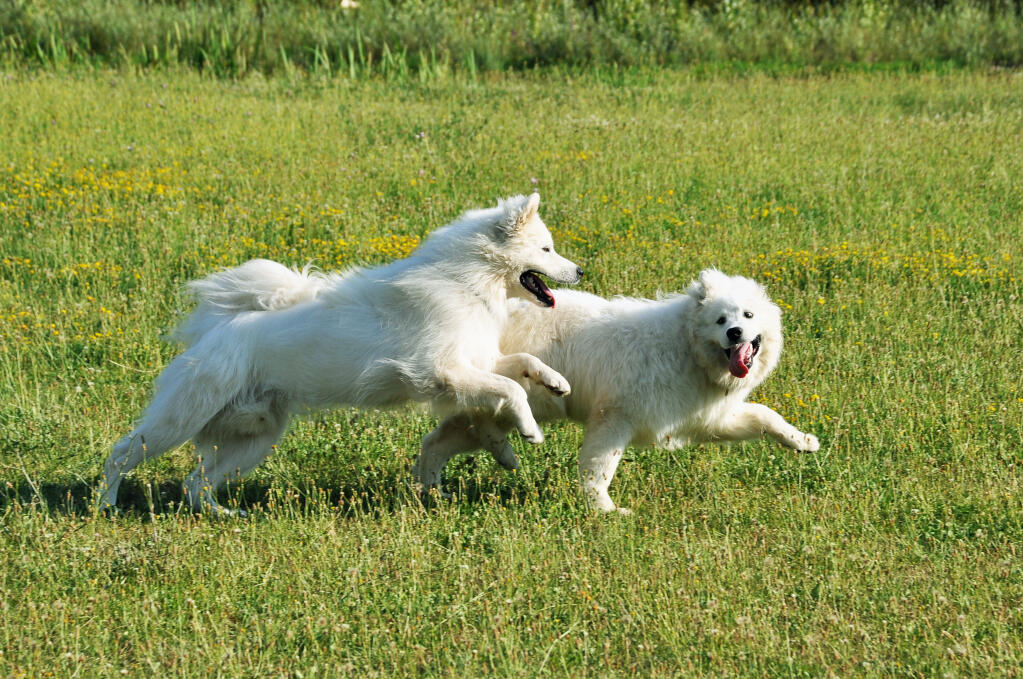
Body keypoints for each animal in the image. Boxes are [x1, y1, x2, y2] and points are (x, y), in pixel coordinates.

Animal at [99, 192, 589, 515]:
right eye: (546, 249)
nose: (582, 270)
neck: (465, 282)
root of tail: (218, 330)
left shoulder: (472, 363)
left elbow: (523, 365)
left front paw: (557, 382)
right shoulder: (443, 373)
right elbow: (512, 388)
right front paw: (530, 430)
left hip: (254, 440)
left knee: (194, 483)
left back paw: (223, 515)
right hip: (180, 420)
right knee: (122, 453)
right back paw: (106, 504)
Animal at [411, 267, 818, 511]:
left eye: (748, 315)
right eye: (720, 320)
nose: (735, 333)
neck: (687, 347)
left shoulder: (711, 419)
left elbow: (765, 415)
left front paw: (802, 441)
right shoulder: (615, 418)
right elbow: (599, 468)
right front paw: (605, 511)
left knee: (436, 441)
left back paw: (432, 492)